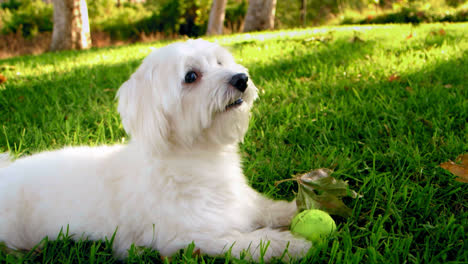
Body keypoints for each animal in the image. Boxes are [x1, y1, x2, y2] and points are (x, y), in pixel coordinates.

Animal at [0, 38, 314, 260]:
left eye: (219, 62)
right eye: (191, 76)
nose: (241, 79)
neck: (198, 158)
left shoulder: (244, 203)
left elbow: (268, 208)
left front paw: (297, 209)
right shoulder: (187, 237)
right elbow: (248, 242)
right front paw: (291, 244)